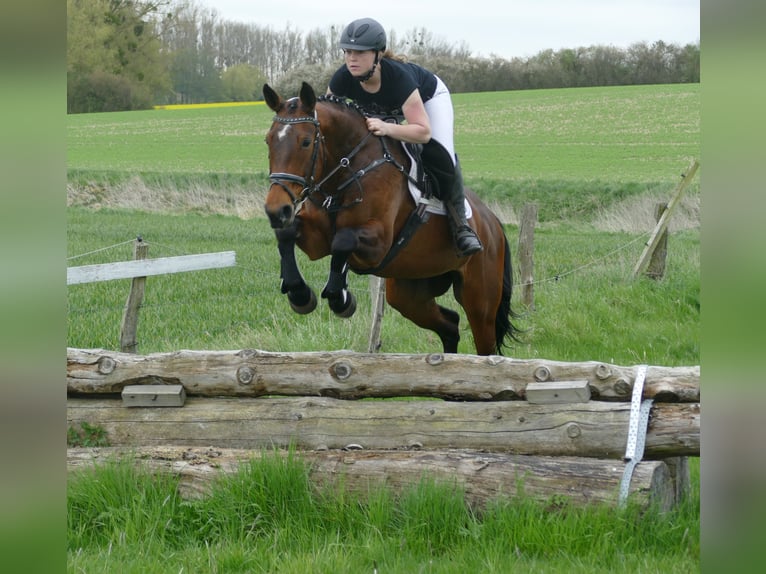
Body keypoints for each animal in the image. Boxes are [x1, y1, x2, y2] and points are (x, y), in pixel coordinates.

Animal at [262, 81, 519, 355]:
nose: (276, 210)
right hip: (409, 292)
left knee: (484, 343)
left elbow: (342, 240)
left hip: (479, 299)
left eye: (306, 142)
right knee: (450, 324)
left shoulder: (378, 243)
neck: (346, 172)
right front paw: (299, 294)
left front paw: (341, 299)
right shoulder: (316, 241)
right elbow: (287, 234)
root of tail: (493, 223)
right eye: (268, 140)